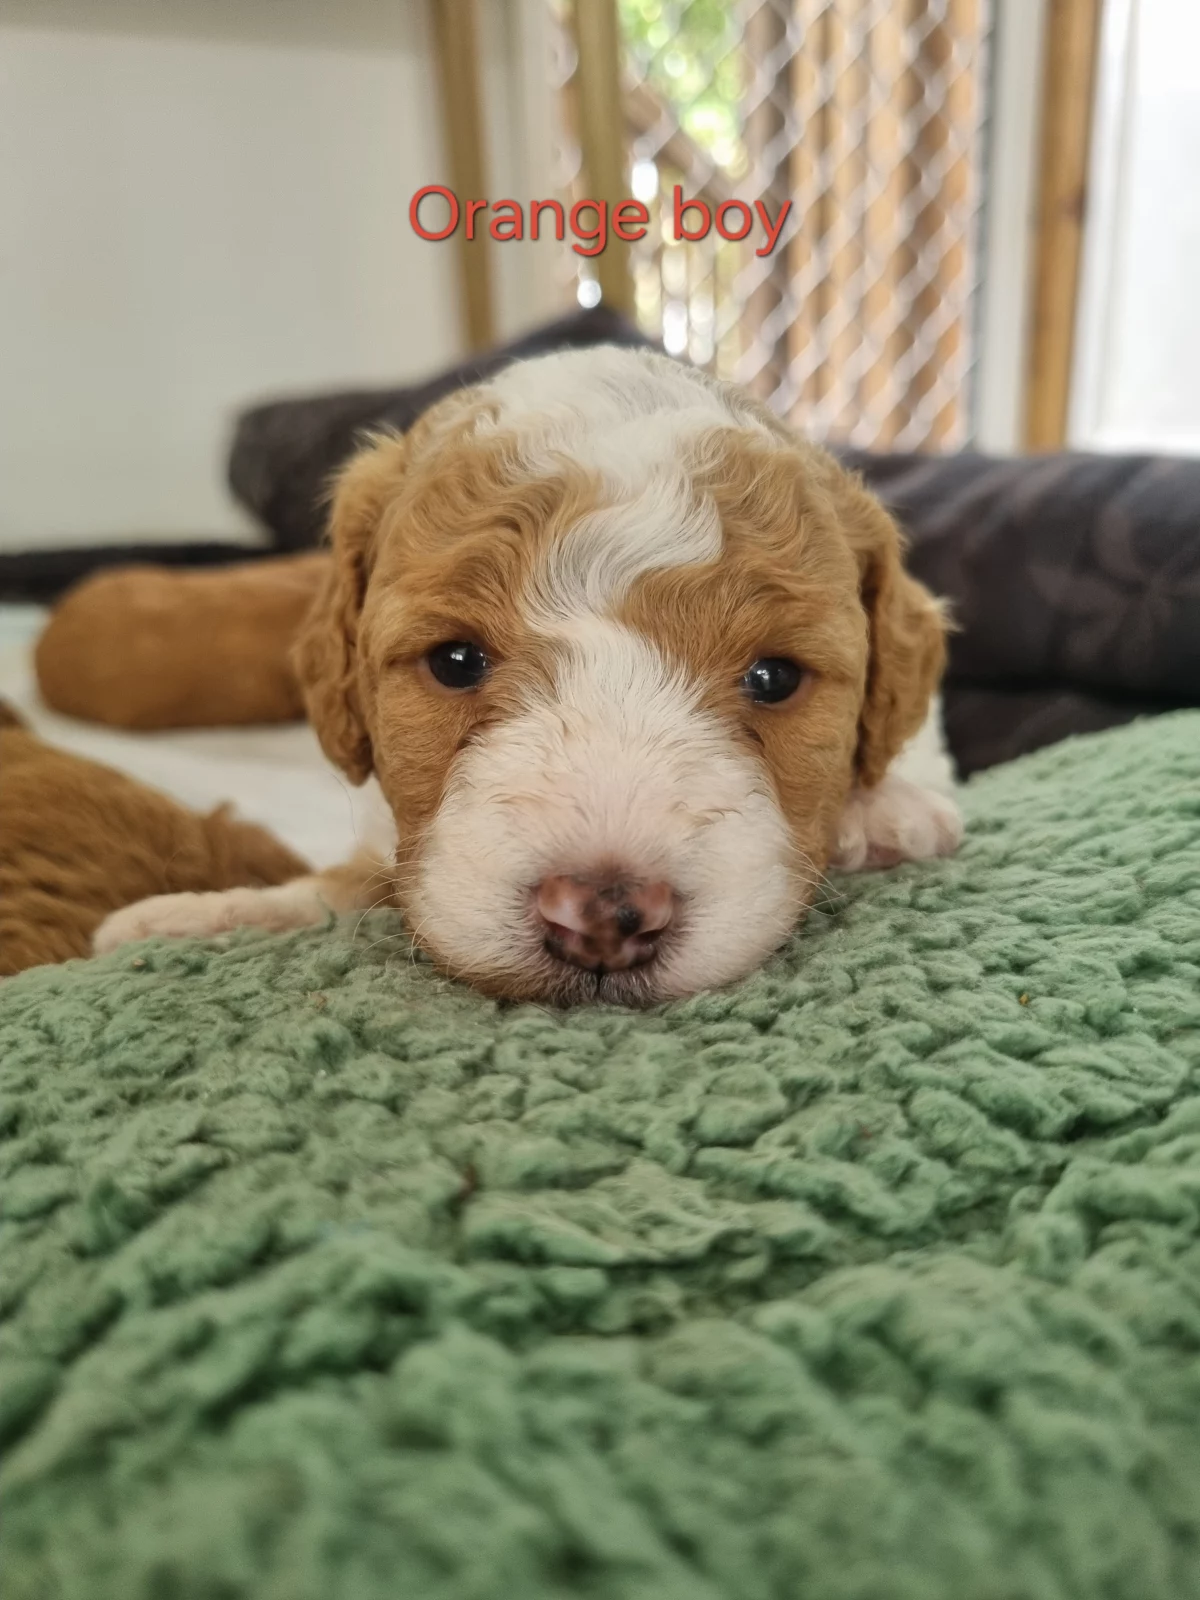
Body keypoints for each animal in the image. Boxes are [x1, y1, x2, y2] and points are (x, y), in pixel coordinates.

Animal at [95, 347, 962, 1003]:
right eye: (454, 662)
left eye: (776, 677)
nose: (604, 918)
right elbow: (332, 886)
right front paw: (195, 917)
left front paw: (887, 811)